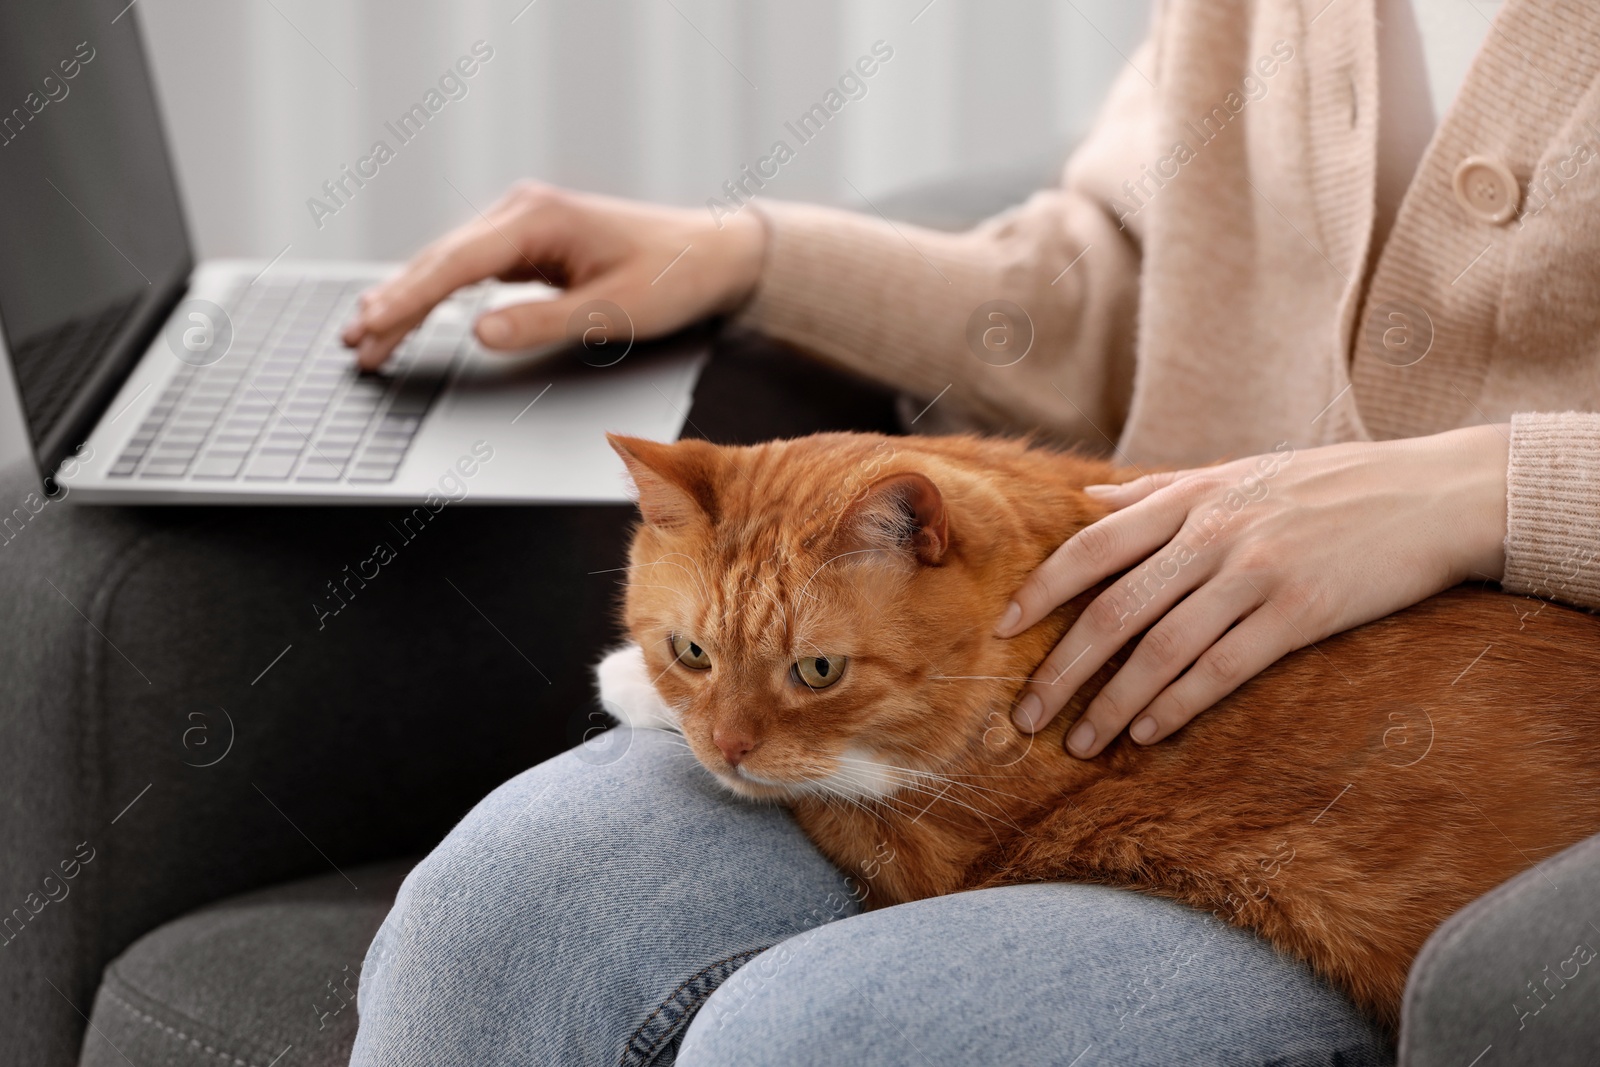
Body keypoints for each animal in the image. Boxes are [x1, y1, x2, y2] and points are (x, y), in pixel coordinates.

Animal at [595, 428, 1600, 1030]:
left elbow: (826, 783)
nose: (727, 744)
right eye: (693, 651)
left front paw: (622, 684)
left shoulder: (923, 844)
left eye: (817, 671)